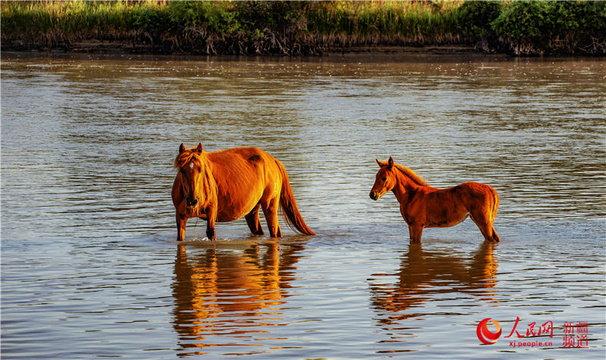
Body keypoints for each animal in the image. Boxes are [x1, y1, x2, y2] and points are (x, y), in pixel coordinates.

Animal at [171, 143, 314, 242]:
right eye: (182, 170)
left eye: (201, 169)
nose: (193, 200)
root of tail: (273, 160)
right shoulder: (180, 216)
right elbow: (180, 237)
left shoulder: (211, 211)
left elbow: (211, 233)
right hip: (252, 209)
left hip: (270, 204)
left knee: (275, 231)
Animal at [370, 158, 504, 245]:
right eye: (375, 176)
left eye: (384, 178)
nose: (372, 194)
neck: (411, 195)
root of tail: (490, 189)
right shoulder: (410, 226)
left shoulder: (417, 226)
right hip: (479, 220)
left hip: (484, 221)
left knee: (493, 239)